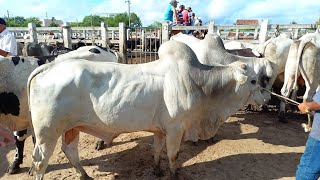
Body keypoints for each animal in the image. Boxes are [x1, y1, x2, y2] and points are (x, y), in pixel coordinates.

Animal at [26, 40, 264, 179]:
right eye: (253, 81)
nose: (266, 96)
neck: (200, 83)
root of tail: (48, 66)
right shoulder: (176, 129)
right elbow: (174, 155)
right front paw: (174, 175)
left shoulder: (160, 130)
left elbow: (157, 151)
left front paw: (157, 170)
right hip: (48, 132)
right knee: (40, 162)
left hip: (71, 127)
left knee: (70, 151)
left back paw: (85, 176)